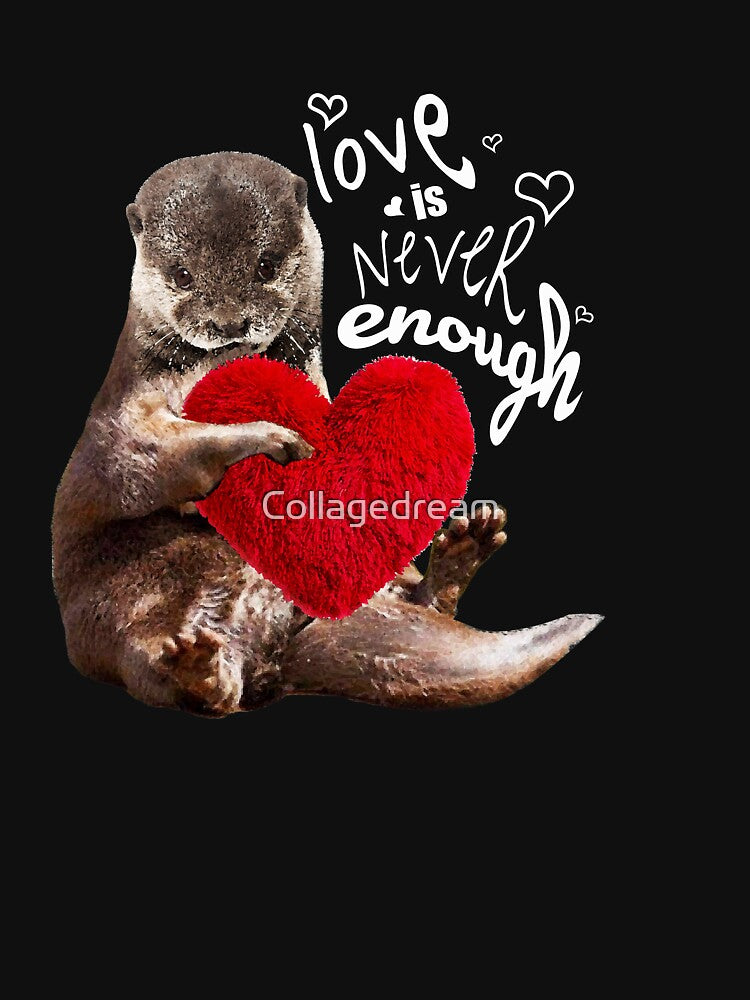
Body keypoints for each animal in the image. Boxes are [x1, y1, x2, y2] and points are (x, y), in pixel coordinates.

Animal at [52, 152, 601, 716]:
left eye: (266, 265)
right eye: (182, 275)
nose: (228, 324)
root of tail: (266, 647)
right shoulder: (126, 416)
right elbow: (156, 454)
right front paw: (273, 437)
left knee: (417, 599)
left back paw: (464, 549)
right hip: (121, 616)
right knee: (173, 677)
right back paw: (194, 665)